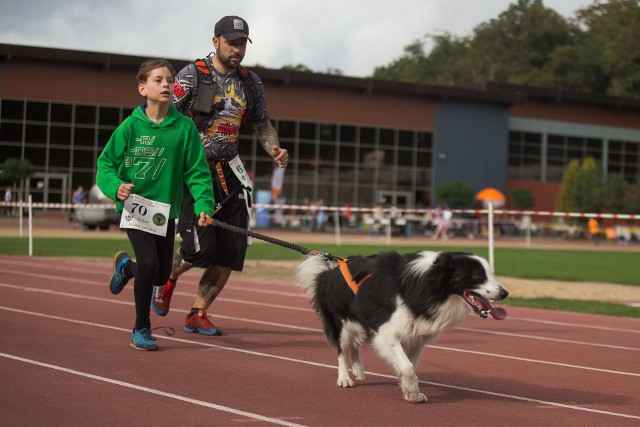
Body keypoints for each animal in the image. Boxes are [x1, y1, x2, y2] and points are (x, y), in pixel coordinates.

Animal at [296, 251, 510, 404]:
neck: (428, 285)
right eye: (476, 275)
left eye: (490, 274)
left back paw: (358, 370)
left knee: (355, 345)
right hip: (341, 322)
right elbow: (406, 366)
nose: (505, 293)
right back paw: (345, 378)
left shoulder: (416, 336)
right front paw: (412, 392)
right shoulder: (387, 332)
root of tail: (327, 273)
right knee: (342, 348)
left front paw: (408, 391)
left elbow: (411, 365)